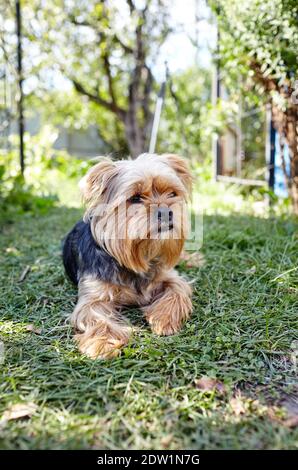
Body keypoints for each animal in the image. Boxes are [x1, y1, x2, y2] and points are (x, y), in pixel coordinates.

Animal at [63, 152, 193, 358]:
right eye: (136, 198)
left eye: (172, 193)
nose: (166, 212)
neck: (135, 258)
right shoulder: (92, 296)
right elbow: (95, 316)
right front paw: (104, 343)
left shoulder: (170, 276)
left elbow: (177, 291)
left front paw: (163, 319)